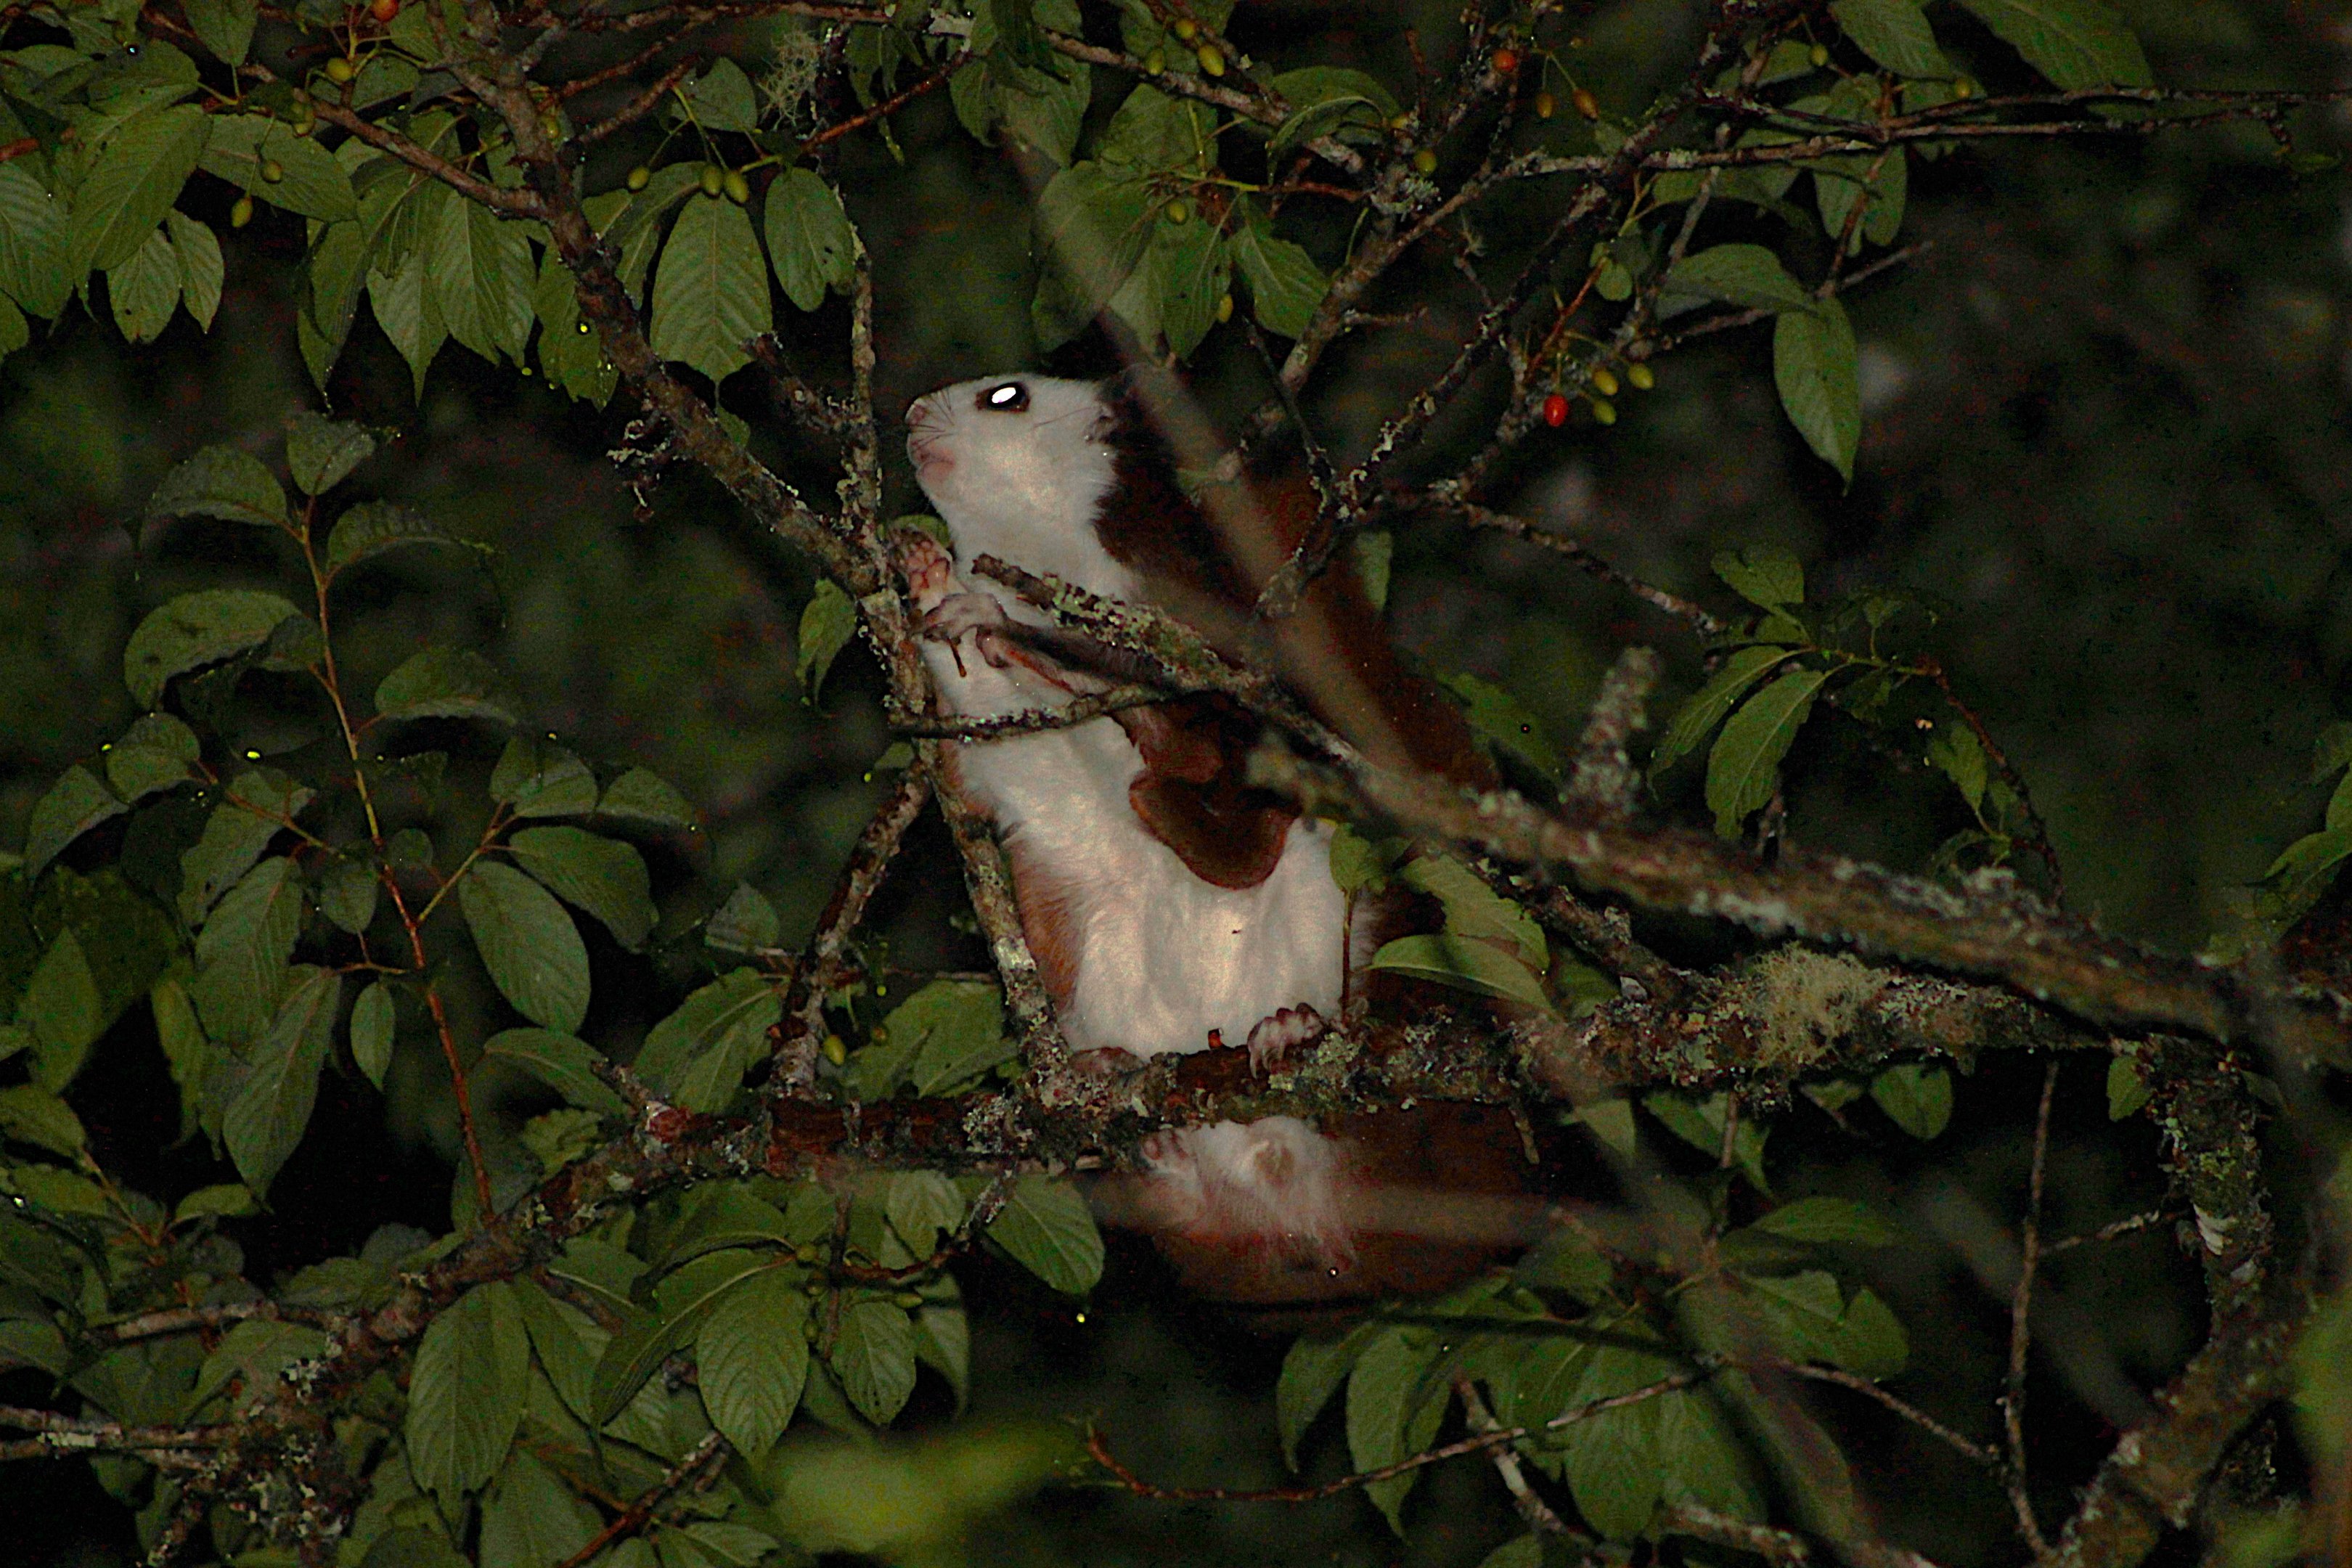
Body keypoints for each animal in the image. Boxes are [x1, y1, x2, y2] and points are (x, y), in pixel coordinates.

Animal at [900, 371, 1531, 1309]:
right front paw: (934, 581)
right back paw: (1133, 1122)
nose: (909, 414)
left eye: (1004, 397)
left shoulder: (1218, 639)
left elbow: (1198, 753)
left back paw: (1298, 1034)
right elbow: (1011, 744)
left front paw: (1017, 629)